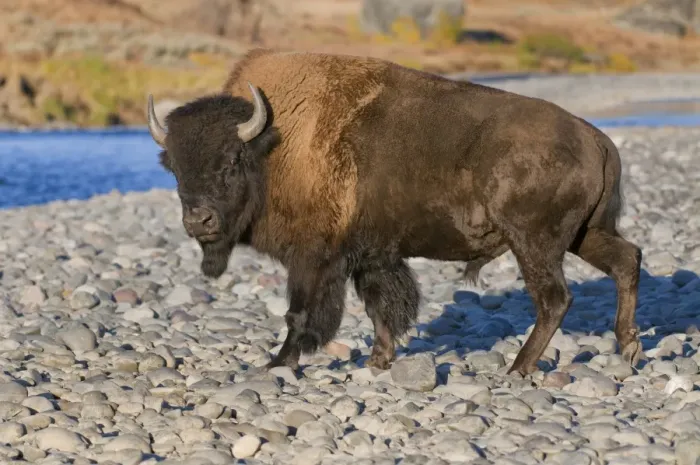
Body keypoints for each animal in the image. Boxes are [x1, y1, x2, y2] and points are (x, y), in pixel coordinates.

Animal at [147, 48, 642, 375]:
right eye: (173, 166)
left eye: (232, 161)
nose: (198, 220)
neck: (274, 147)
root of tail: (594, 138)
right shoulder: (371, 256)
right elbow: (380, 308)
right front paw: (379, 360)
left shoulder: (314, 258)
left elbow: (299, 313)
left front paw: (277, 363)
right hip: (582, 235)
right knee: (626, 260)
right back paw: (628, 347)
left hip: (535, 244)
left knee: (555, 299)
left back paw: (518, 368)